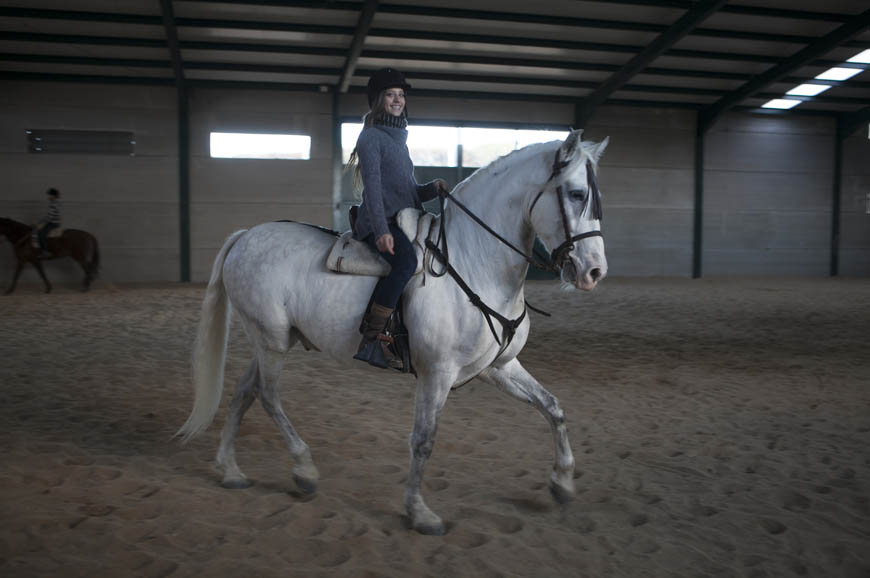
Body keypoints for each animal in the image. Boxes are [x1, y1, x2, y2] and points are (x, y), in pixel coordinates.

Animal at [176, 129, 609, 535]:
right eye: (576, 194)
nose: (594, 272)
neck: (473, 261)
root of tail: (245, 236)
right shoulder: (437, 374)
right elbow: (424, 439)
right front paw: (420, 512)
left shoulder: (499, 367)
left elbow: (553, 407)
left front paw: (562, 483)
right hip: (271, 341)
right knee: (267, 395)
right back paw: (304, 470)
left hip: (274, 341)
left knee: (244, 392)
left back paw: (230, 470)